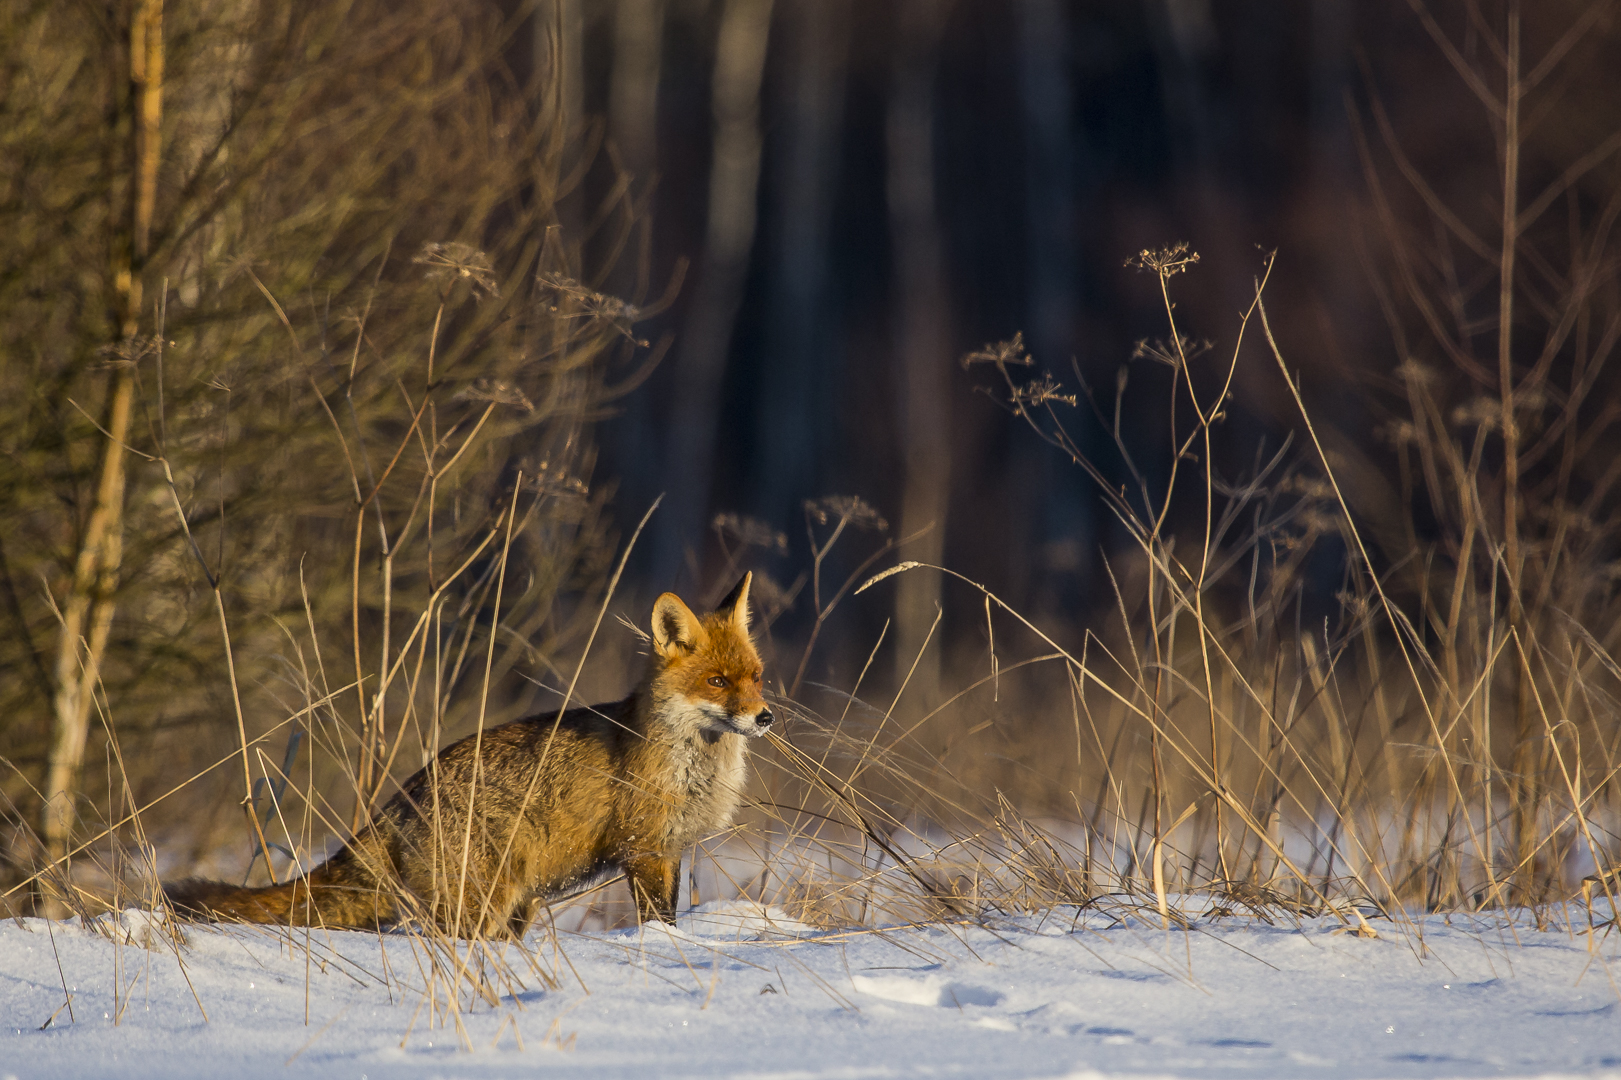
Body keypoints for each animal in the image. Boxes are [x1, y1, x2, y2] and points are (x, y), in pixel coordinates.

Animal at [167, 570, 774, 934]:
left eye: (756, 677)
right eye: (717, 682)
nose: (764, 717)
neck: (692, 766)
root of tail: (402, 796)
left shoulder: (671, 849)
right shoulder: (643, 849)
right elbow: (657, 921)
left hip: (514, 906)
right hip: (481, 904)